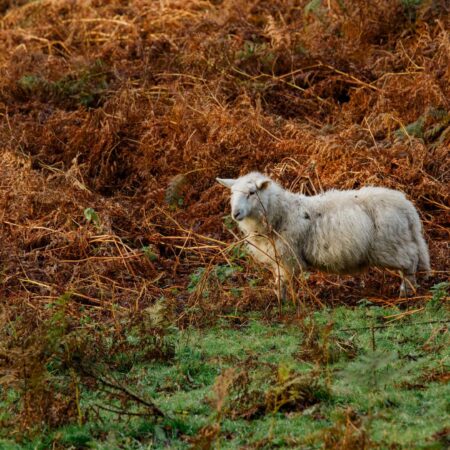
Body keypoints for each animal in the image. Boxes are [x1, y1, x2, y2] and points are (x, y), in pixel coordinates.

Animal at [216, 172, 430, 298]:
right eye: (232, 193)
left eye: (252, 192)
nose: (235, 213)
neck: (282, 212)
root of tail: (407, 206)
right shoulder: (279, 258)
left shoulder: (288, 257)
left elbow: (283, 282)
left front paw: (283, 302)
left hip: (392, 245)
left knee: (410, 261)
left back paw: (406, 292)